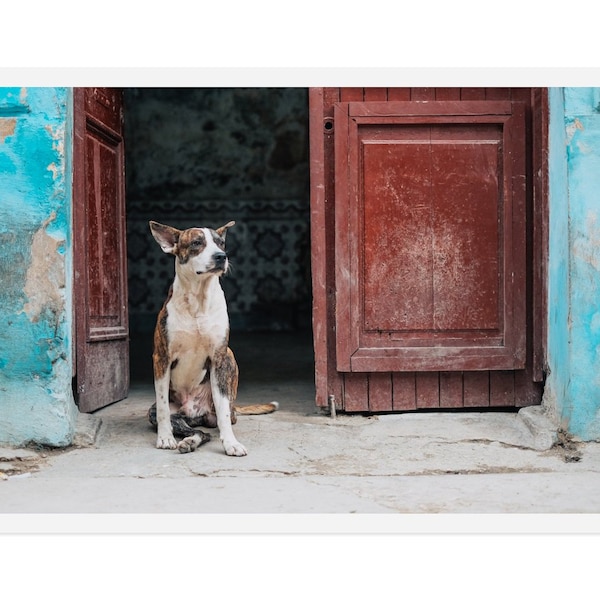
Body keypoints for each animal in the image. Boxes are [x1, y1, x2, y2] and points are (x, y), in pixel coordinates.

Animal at [146, 220, 278, 454]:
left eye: (221, 243)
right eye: (197, 243)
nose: (221, 256)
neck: (198, 298)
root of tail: (194, 412)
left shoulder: (219, 358)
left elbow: (223, 415)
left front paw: (231, 443)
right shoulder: (161, 358)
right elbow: (162, 406)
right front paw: (165, 438)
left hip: (229, 358)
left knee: (217, 422)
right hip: (165, 414)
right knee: (195, 429)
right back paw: (187, 440)